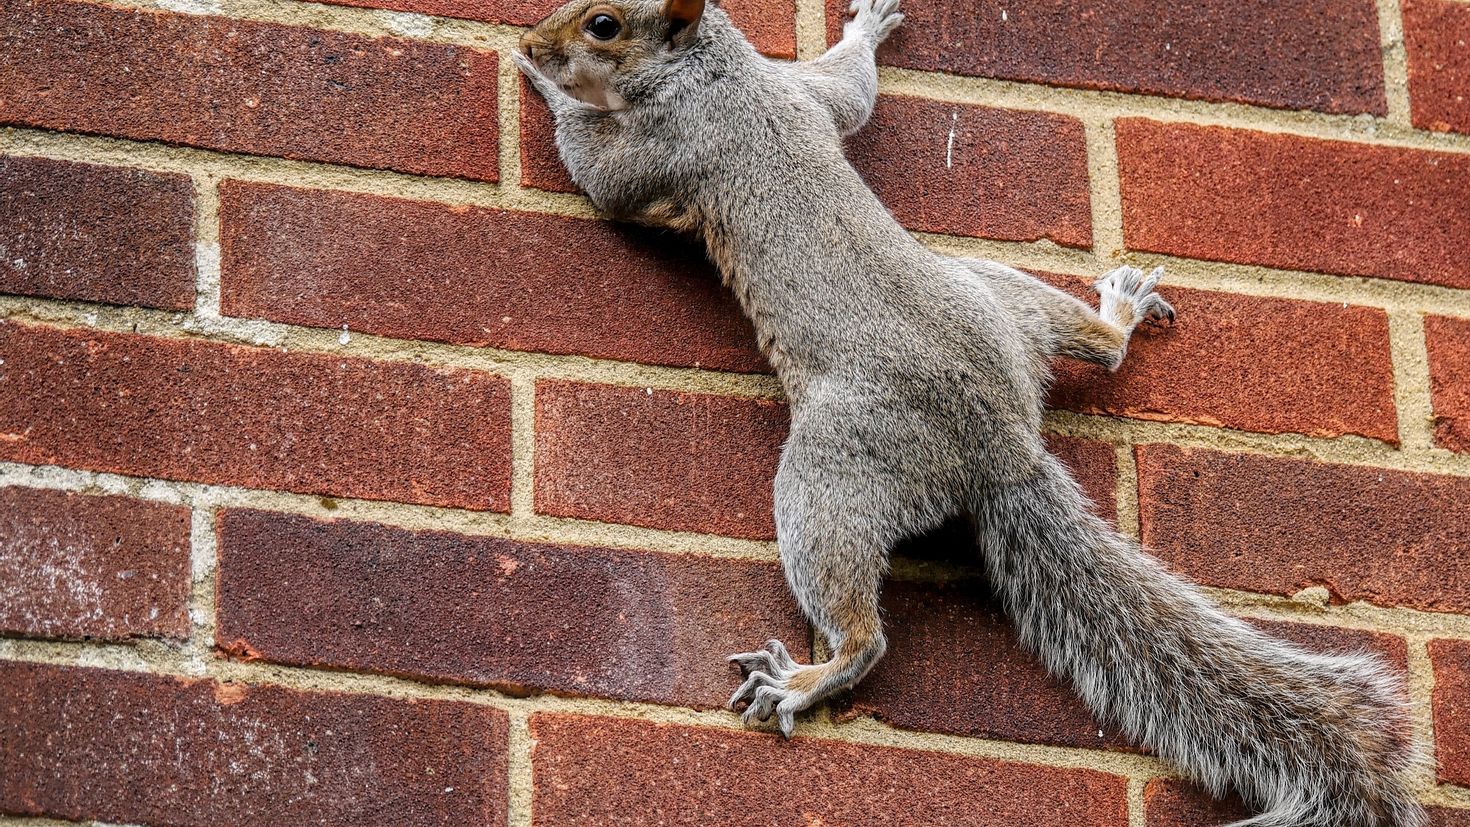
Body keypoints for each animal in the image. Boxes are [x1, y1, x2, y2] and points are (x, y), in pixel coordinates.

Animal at [514, 3, 1422, 822]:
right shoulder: (800, 91)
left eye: (602, 25)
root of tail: (1003, 448)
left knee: (865, 630)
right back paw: (1118, 317)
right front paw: (866, 28)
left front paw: (544, 83)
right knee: (1096, 349)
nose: (533, 36)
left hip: (833, 468)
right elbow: (849, 92)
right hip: (995, 295)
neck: (714, 72)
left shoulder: (667, 144)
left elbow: (601, 173)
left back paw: (808, 677)